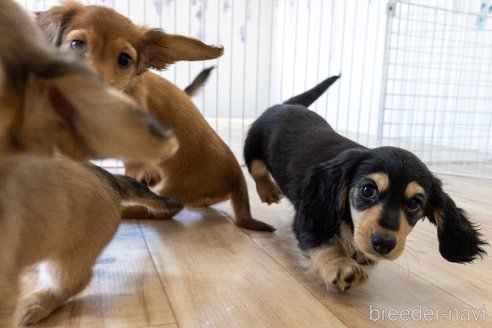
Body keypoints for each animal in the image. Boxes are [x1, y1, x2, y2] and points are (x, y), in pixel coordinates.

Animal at [37, 1, 276, 231]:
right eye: (76, 44)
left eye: (124, 60)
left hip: (172, 187)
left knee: (162, 208)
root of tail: (237, 176)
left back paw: (124, 210)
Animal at [244, 75, 486, 292]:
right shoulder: (310, 217)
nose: (383, 243)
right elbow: (327, 243)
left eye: (414, 203)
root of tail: (287, 105)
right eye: (368, 190)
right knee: (257, 168)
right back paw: (267, 190)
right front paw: (341, 266)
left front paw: (358, 253)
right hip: (252, 145)